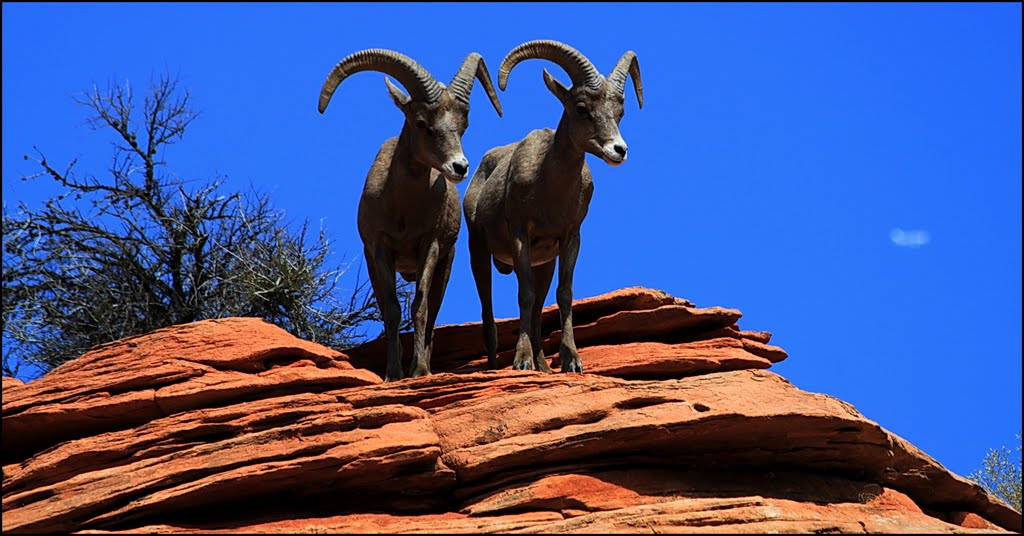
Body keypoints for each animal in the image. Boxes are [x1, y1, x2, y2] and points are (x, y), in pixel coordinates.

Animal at [315, 48, 499, 379]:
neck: (402, 210)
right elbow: (391, 308)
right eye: (421, 123)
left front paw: (419, 371)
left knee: (433, 313)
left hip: (446, 264)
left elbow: (420, 305)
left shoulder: (431, 246)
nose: (459, 167)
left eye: (462, 126)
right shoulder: (379, 249)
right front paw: (393, 374)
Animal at [462, 40, 638, 373]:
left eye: (619, 112)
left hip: (543, 263)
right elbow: (525, 294)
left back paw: (543, 366)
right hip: (478, 251)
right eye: (581, 109)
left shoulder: (569, 239)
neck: (549, 193)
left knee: (537, 311)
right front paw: (522, 361)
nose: (619, 150)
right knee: (488, 313)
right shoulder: (520, 236)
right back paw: (495, 364)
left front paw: (572, 362)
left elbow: (563, 295)